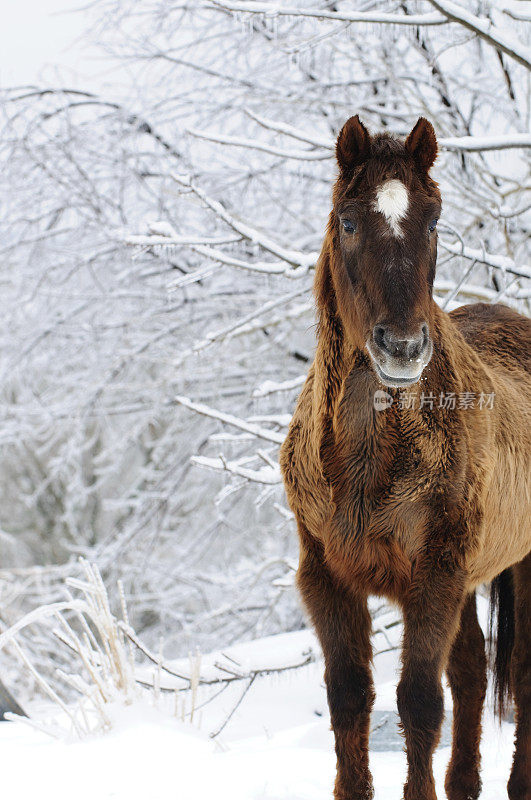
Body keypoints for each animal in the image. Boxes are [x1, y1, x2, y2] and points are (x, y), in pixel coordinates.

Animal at [280, 114, 528, 800]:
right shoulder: (328, 579)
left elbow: (418, 700)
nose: (402, 347)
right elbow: (349, 698)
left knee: (518, 674)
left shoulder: (434, 576)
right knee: (471, 671)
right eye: (348, 221)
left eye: (435, 220)